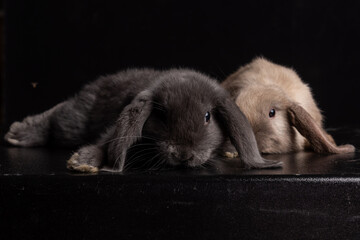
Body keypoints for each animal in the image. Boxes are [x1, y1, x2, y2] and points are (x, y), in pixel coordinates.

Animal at [4, 68, 282, 172]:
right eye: (162, 114)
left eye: (207, 116)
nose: (183, 155)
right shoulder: (113, 129)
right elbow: (104, 142)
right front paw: (83, 162)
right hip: (75, 121)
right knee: (56, 118)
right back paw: (17, 134)